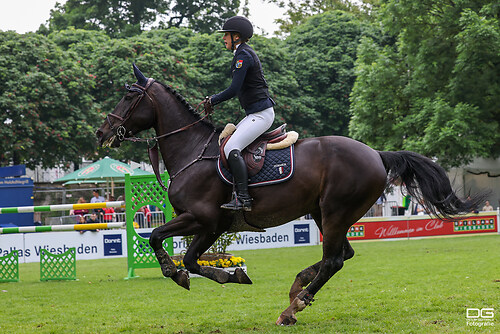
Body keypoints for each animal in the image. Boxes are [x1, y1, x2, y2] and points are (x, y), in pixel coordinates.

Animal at [95, 66, 482, 326]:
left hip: (336, 211)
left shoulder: (204, 219)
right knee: (342, 255)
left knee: (334, 260)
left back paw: (293, 307)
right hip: (323, 213)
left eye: (128, 95)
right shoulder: (211, 226)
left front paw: (200, 275)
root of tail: (376, 154)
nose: (102, 132)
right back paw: (298, 287)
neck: (193, 151)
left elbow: (164, 243)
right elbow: (181, 253)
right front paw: (219, 275)